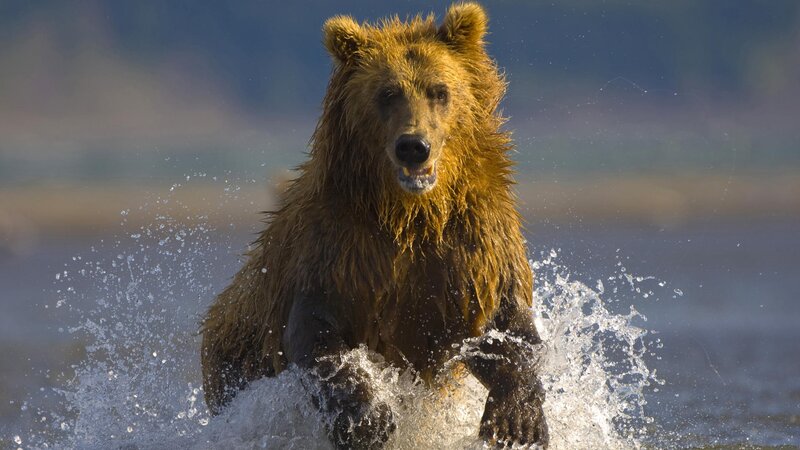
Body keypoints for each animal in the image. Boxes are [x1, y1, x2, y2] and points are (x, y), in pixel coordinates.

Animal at [201, 3, 549, 448]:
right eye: (387, 93)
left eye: (439, 91)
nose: (413, 146)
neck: (410, 214)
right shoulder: (337, 248)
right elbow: (316, 336)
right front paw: (369, 420)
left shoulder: (471, 242)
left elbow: (502, 325)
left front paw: (517, 421)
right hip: (236, 357)